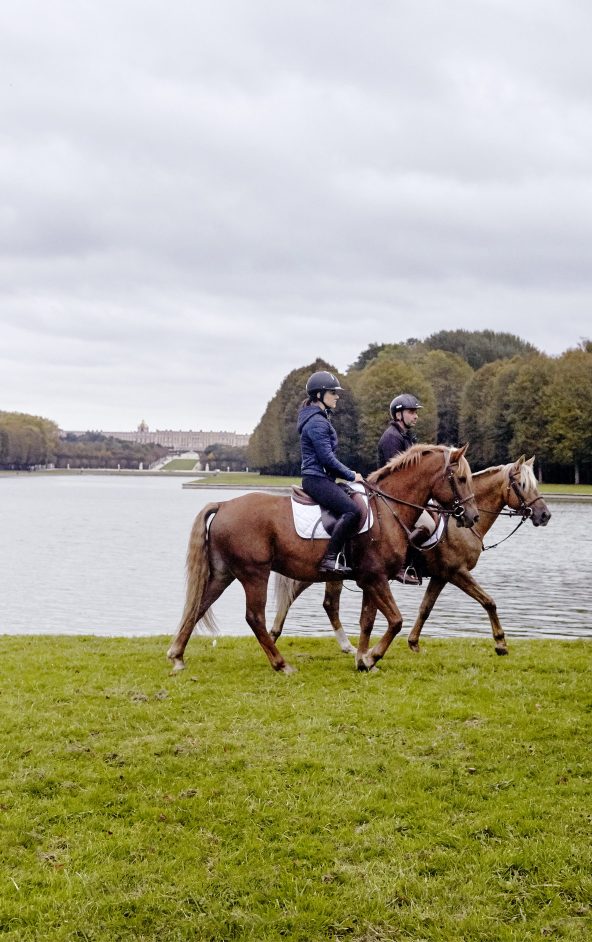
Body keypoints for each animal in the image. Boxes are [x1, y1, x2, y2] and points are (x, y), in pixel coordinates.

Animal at [165, 442, 476, 672]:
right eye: (461, 478)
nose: (471, 516)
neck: (388, 510)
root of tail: (224, 504)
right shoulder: (375, 577)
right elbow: (396, 620)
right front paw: (371, 657)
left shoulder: (371, 579)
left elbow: (368, 621)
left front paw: (363, 660)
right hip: (254, 573)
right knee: (254, 617)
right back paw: (281, 664)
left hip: (223, 573)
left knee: (199, 605)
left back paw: (178, 656)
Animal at [272, 458, 552, 656]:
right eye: (523, 486)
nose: (545, 515)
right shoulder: (457, 572)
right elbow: (489, 601)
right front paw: (501, 643)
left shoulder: (441, 576)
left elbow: (425, 608)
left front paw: (413, 642)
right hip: (325, 571)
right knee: (319, 601)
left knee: (311, 600)